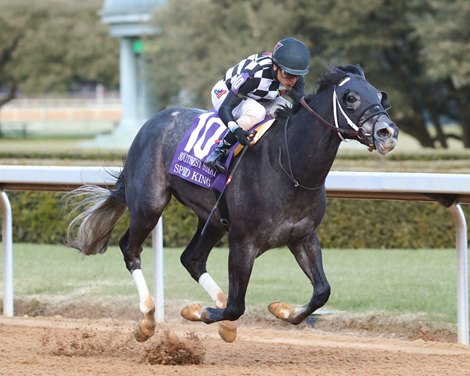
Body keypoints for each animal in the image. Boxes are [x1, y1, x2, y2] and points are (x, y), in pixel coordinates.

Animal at [67, 65, 396, 344]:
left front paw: (281, 309)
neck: (289, 166)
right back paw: (148, 319)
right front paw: (198, 312)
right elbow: (237, 307)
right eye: (351, 97)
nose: (387, 132)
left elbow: (321, 292)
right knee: (130, 249)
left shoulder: (303, 237)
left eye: (380, 95)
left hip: (212, 219)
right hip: (149, 205)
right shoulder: (243, 243)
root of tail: (153, 121)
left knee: (192, 259)